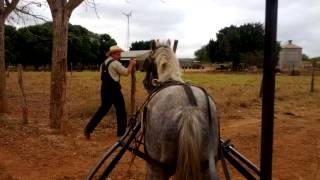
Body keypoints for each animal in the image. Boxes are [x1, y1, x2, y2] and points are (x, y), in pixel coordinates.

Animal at [142, 40, 220, 179]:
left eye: (148, 62)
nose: (145, 83)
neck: (169, 79)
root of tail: (188, 110)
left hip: (155, 167)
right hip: (206, 166)